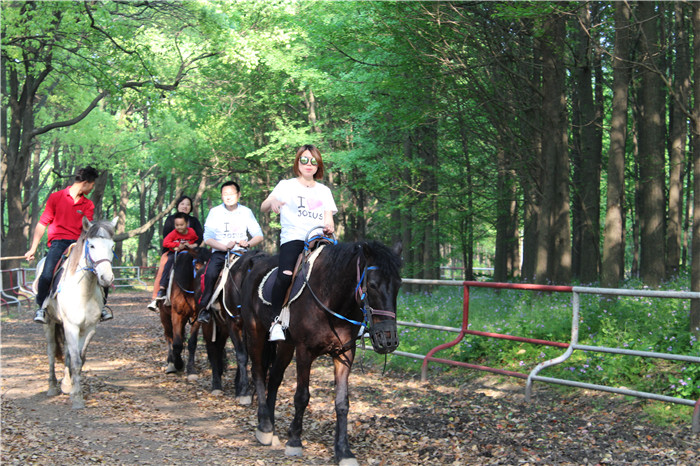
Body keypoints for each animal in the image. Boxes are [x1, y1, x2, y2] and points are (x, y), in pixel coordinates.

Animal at [34, 218, 117, 408]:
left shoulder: (89, 329)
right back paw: (52, 387)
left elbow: (79, 358)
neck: (84, 291)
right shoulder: (71, 326)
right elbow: (76, 360)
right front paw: (78, 398)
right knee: (51, 351)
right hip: (50, 324)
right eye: (92, 245)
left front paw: (72, 388)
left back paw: (65, 383)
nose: (106, 278)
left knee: (66, 352)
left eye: (112, 246)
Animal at [242, 238, 402, 464]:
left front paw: (343, 451)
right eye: (372, 285)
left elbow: (342, 403)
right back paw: (264, 426)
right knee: (257, 372)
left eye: (399, 285)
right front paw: (294, 441)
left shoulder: (344, 353)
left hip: (285, 345)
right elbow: (302, 396)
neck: (330, 299)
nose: (388, 340)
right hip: (254, 332)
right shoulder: (304, 352)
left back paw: (271, 424)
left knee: (274, 378)